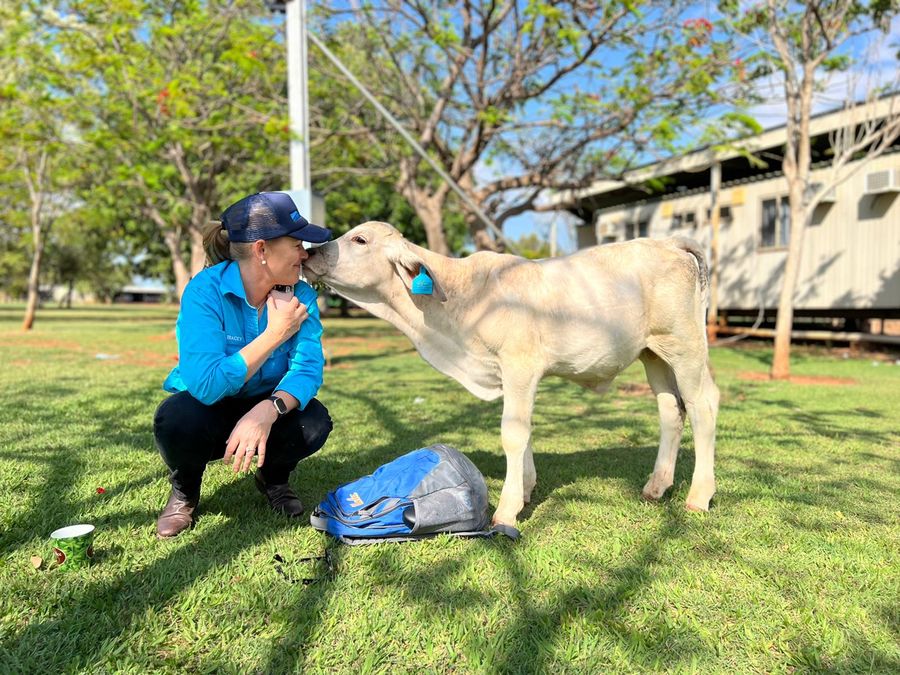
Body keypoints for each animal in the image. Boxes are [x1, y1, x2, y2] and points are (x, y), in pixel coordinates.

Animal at [303, 222, 719, 527]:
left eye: (360, 239)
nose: (310, 252)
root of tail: (670, 242)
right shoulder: (509, 373)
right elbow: (526, 431)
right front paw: (527, 490)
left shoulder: (520, 365)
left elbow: (513, 434)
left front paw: (506, 512)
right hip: (653, 355)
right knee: (671, 411)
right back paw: (656, 486)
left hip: (685, 346)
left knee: (703, 405)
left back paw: (699, 496)